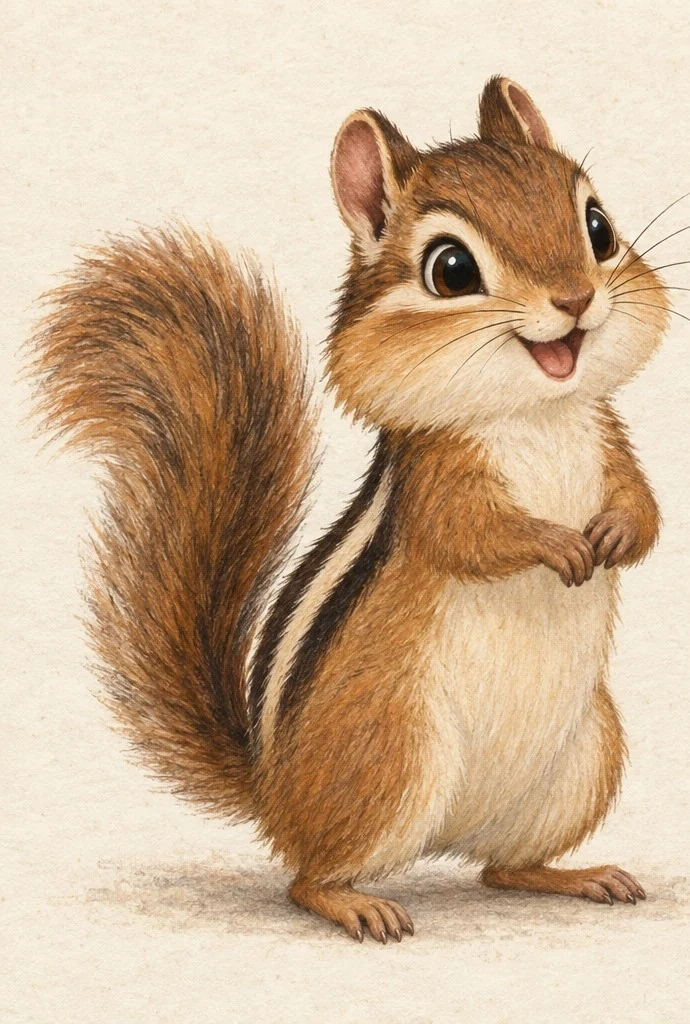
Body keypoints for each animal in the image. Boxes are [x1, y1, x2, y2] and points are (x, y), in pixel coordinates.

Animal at [29, 75, 669, 944]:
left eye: (598, 226)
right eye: (451, 268)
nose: (575, 299)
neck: (534, 415)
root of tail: (272, 791)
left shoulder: (611, 442)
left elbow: (646, 507)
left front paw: (611, 532)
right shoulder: (439, 482)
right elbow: (475, 535)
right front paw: (557, 543)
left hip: (585, 757)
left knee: (502, 867)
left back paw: (578, 876)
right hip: (390, 754)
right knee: (307, 876)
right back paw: (358, 903)